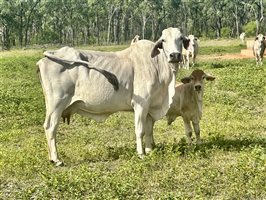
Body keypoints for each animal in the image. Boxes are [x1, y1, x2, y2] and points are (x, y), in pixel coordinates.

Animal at [37, 27, 190, 166]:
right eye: (163, 40)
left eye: (181, 38)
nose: (175, 55)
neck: (157, 65)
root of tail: (49, 56)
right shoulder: (141, 104)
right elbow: (140, 130)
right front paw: (141, 154)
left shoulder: (150, 108)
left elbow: (149, 130)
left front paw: (150, 150)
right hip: (56, 104)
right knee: (50, 127)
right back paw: (56, 159)